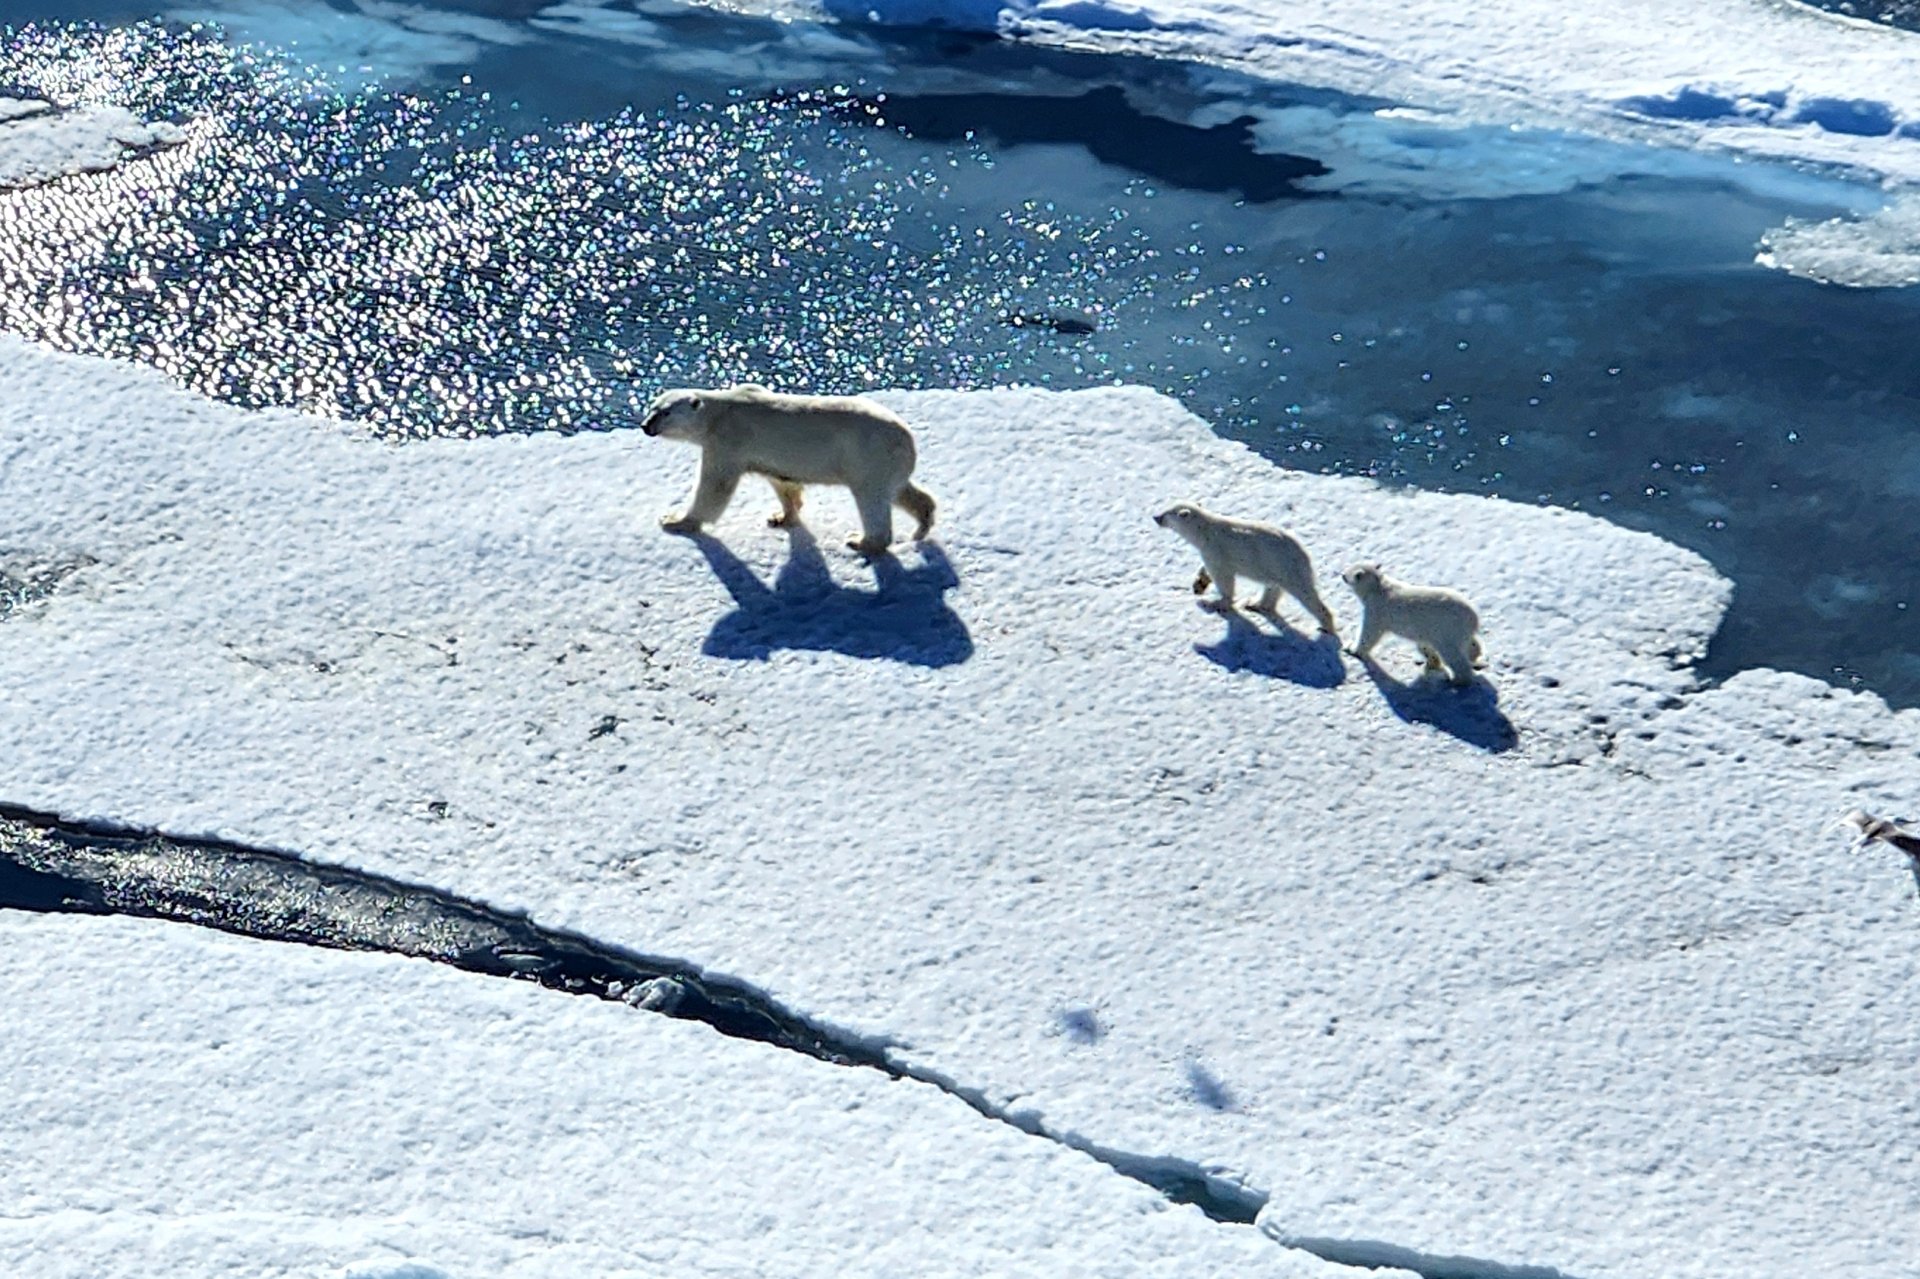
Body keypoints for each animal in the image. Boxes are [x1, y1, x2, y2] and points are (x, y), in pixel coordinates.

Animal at [645, 384, 936, 553]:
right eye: (652, 407)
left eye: (666, 412)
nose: (645, 425)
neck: (718, 412)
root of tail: (908, 439)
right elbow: (783, 483)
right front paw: (781, 517)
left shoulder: (729, 440)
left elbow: (715, 486)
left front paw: (676, 521)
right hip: (886, 463)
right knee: (901, 492)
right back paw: (922, 523)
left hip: (867, 455)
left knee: (871, 499)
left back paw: (862, 541)